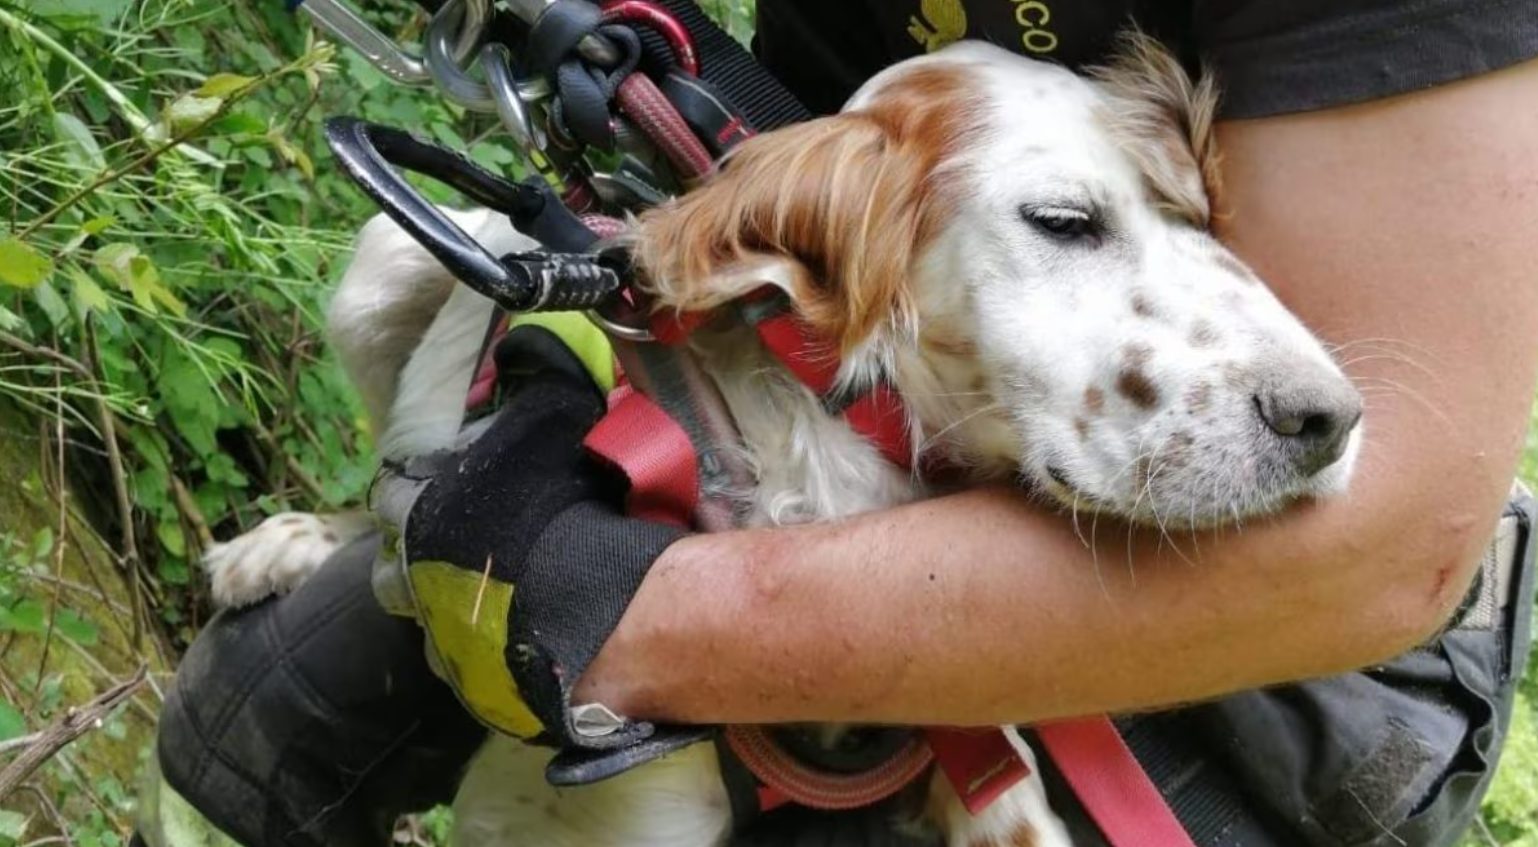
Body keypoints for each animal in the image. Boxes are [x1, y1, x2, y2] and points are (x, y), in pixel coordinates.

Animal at [201, 34, 1359, 847]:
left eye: (1208, 224)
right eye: (1065, 221)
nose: (1334, 420)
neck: (841, 436)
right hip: (380, 263)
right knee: (385, 488)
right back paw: (299, 539)